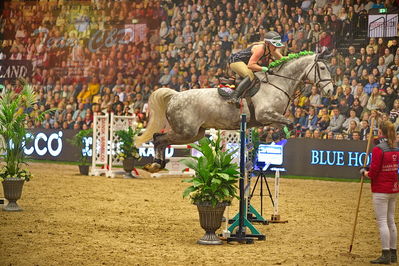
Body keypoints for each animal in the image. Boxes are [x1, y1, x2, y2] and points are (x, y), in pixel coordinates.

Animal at [136, 52, 332, 172]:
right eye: (322, 68)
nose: (330, 91)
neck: (278, 84)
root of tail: (175, 96)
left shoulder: (272, 119)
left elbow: (286, 125)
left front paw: (275, 141)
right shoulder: (265, 115)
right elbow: (289, 123)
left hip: (195, 134)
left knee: (162, 140)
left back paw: (159, 164)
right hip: (185, 132)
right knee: (158, 138)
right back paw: (155, 164)